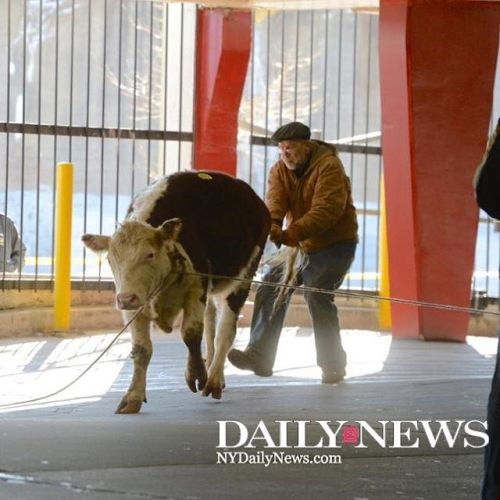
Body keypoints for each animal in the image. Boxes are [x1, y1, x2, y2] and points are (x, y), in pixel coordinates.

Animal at [83, 172, 270, 414]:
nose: (126, 299)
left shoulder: (197, 288)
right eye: (109, 259)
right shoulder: (134, 306)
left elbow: (191, 334)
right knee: (211, 326)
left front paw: (196, 373)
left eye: (150, 254)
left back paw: (214, 379)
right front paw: (133, 396)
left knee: (225, 332)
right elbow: (141, 350)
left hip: (242, 279)